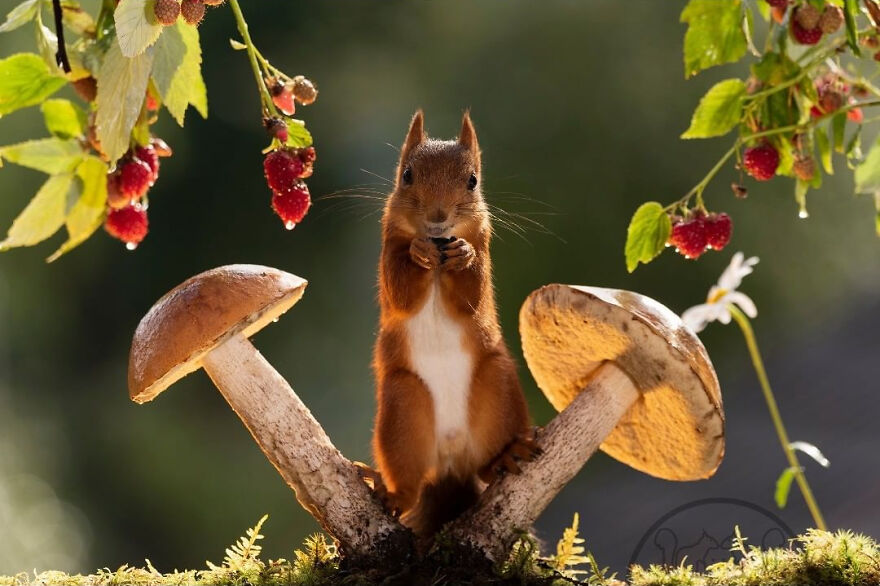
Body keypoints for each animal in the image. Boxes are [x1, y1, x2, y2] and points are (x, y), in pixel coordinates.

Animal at [365, 110, 538, 537]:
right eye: (407, 175)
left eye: (472, 180)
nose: (438, 217)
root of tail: (450, 460)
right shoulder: (388, 254)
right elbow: (402, 292)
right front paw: (419, 252)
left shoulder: (484, 249)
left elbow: (471, 297)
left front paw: (463, 255)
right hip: (402, 408)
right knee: (409, 483)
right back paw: (394, 496)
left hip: (497, 388)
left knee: (488, 467)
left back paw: (506, 457)